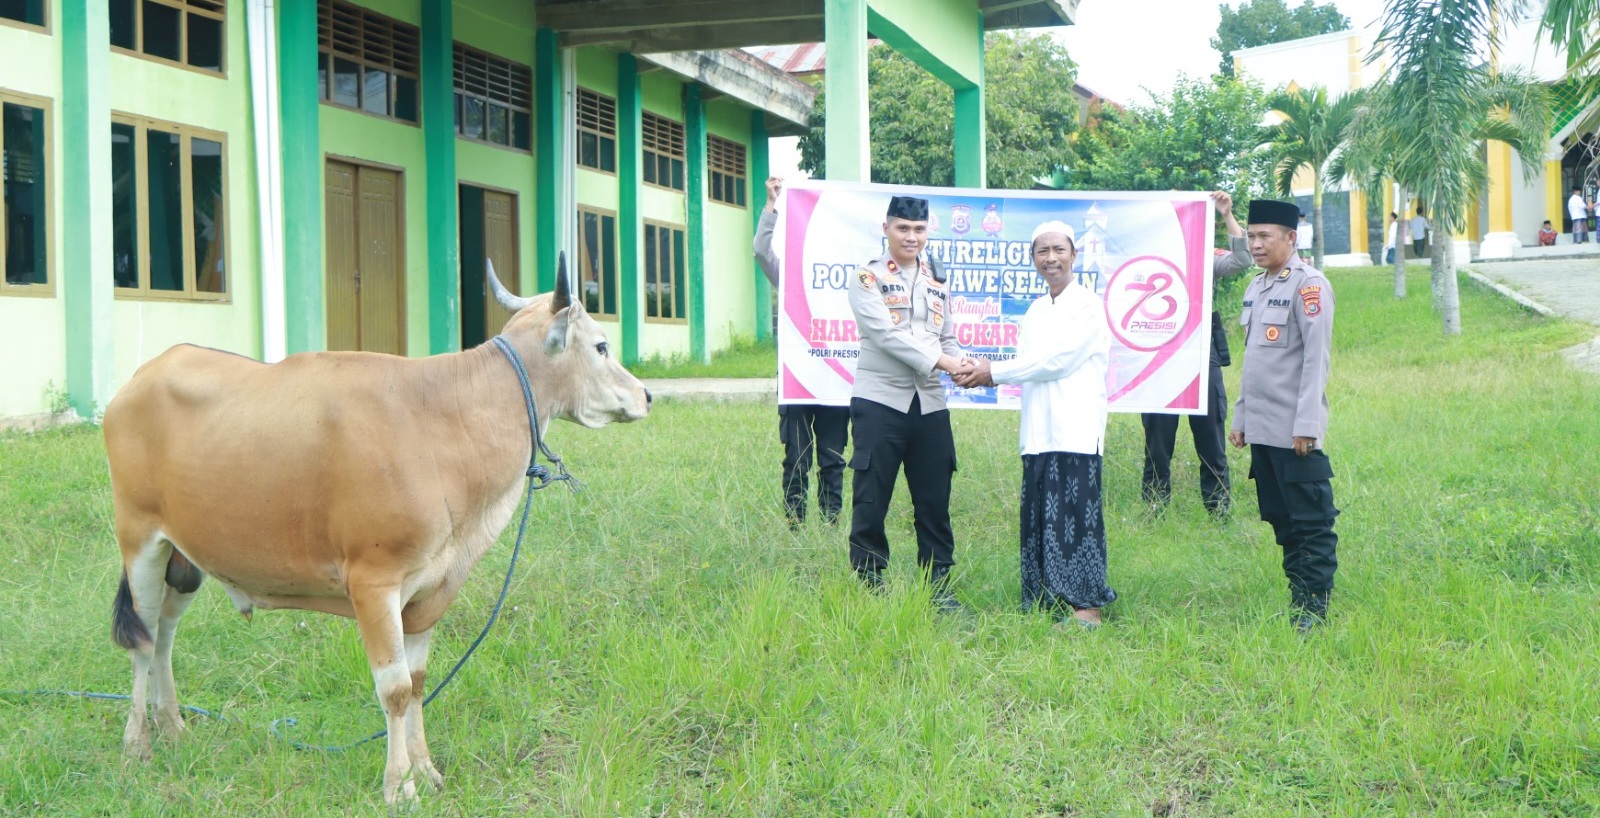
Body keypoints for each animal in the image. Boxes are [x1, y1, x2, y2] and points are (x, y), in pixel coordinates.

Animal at [103, 259, 643, 809]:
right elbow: (395, 689)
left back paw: (173, 726)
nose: (645, 394)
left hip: (184, 559)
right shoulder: (373, 582)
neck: (447, 421)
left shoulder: (429, 589)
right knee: (144, 637)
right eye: (602, 346)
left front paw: (425, 769)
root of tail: (146, 374)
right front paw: (399, 785)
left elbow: (419, 681)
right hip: (140, 539)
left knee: (166, 632)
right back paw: (137, 743)